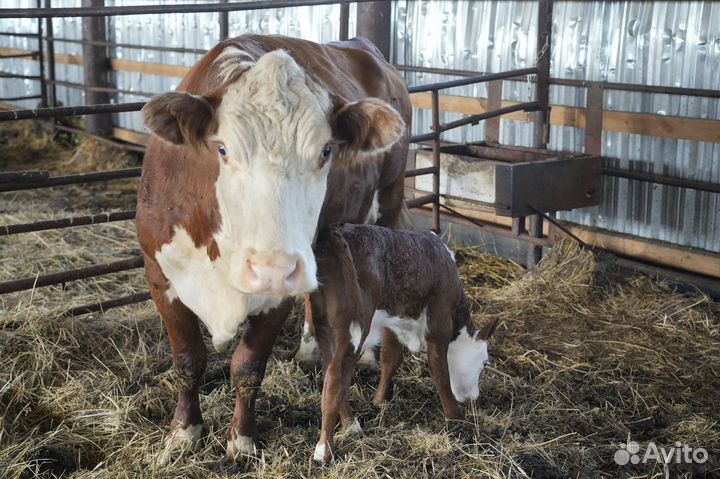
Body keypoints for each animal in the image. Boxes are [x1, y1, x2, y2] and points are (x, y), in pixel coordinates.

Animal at [135, 35, 410, 460]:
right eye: (222, 149)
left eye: (326, 151)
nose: (273, 269)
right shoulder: (158, 271)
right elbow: (187, 358)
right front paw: (183, 431)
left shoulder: (278, 294)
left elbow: (248, 365)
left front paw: (242, 439)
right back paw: (311, 348)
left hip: (386, 206)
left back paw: (365, 353)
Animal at [310, 225, 500, 464]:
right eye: (484, 363)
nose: (473, 398)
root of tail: (336, 233)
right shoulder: (439, 317)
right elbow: (439, 370)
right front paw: (455, 416)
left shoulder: (392, 321)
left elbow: (391, 358)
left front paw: (380, 400)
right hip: (354, 327)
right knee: (336, 376)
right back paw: (325, 450)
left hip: (324, 325)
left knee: (328, 369)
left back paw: (351, 424)